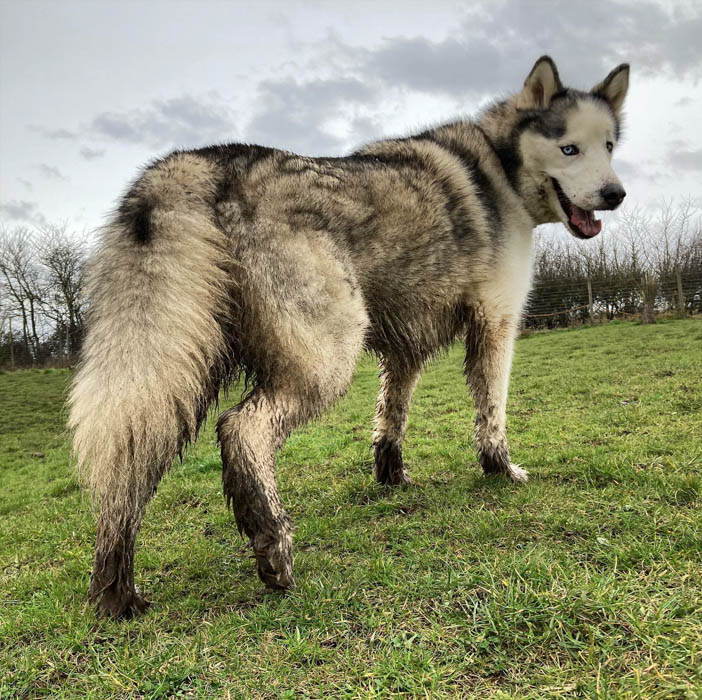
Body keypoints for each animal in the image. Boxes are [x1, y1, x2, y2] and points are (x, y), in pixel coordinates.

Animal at [71, 57, 632, 616]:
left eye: (609, 146)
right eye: (569, 148)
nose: (616, 195)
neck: (500, 167)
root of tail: (209, 163)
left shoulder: (404, 351)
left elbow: (391, 417)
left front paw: (392, 477)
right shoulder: (496, 325)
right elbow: (492, 413)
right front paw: (500, 470)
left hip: (163, 376)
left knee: (127, 473)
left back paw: (117, 591)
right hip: (325, 359)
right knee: (238, 429)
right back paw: (271, 542)